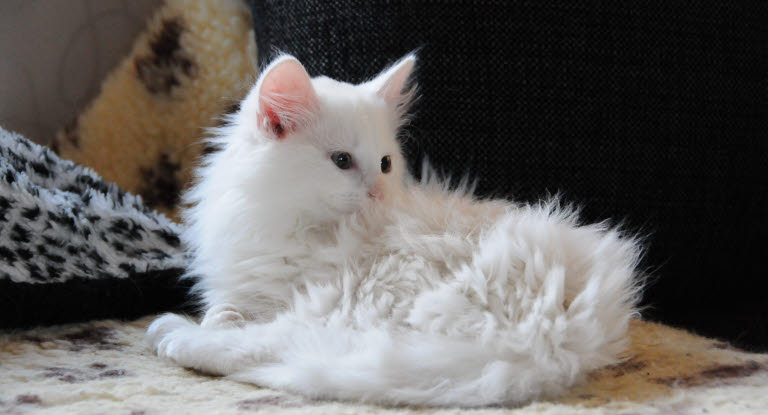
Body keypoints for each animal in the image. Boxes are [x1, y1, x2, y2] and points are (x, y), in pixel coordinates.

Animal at [146, 53, 640, 408]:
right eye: (341, 161)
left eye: (385, 163)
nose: (379, 193)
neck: (289, 221)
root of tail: (563, 330)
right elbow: (227, 306)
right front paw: (222, 314)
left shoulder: (298, 291)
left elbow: (242, 322)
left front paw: (211, 324)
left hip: (354, 299)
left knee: (276, 344)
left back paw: (175, 335)